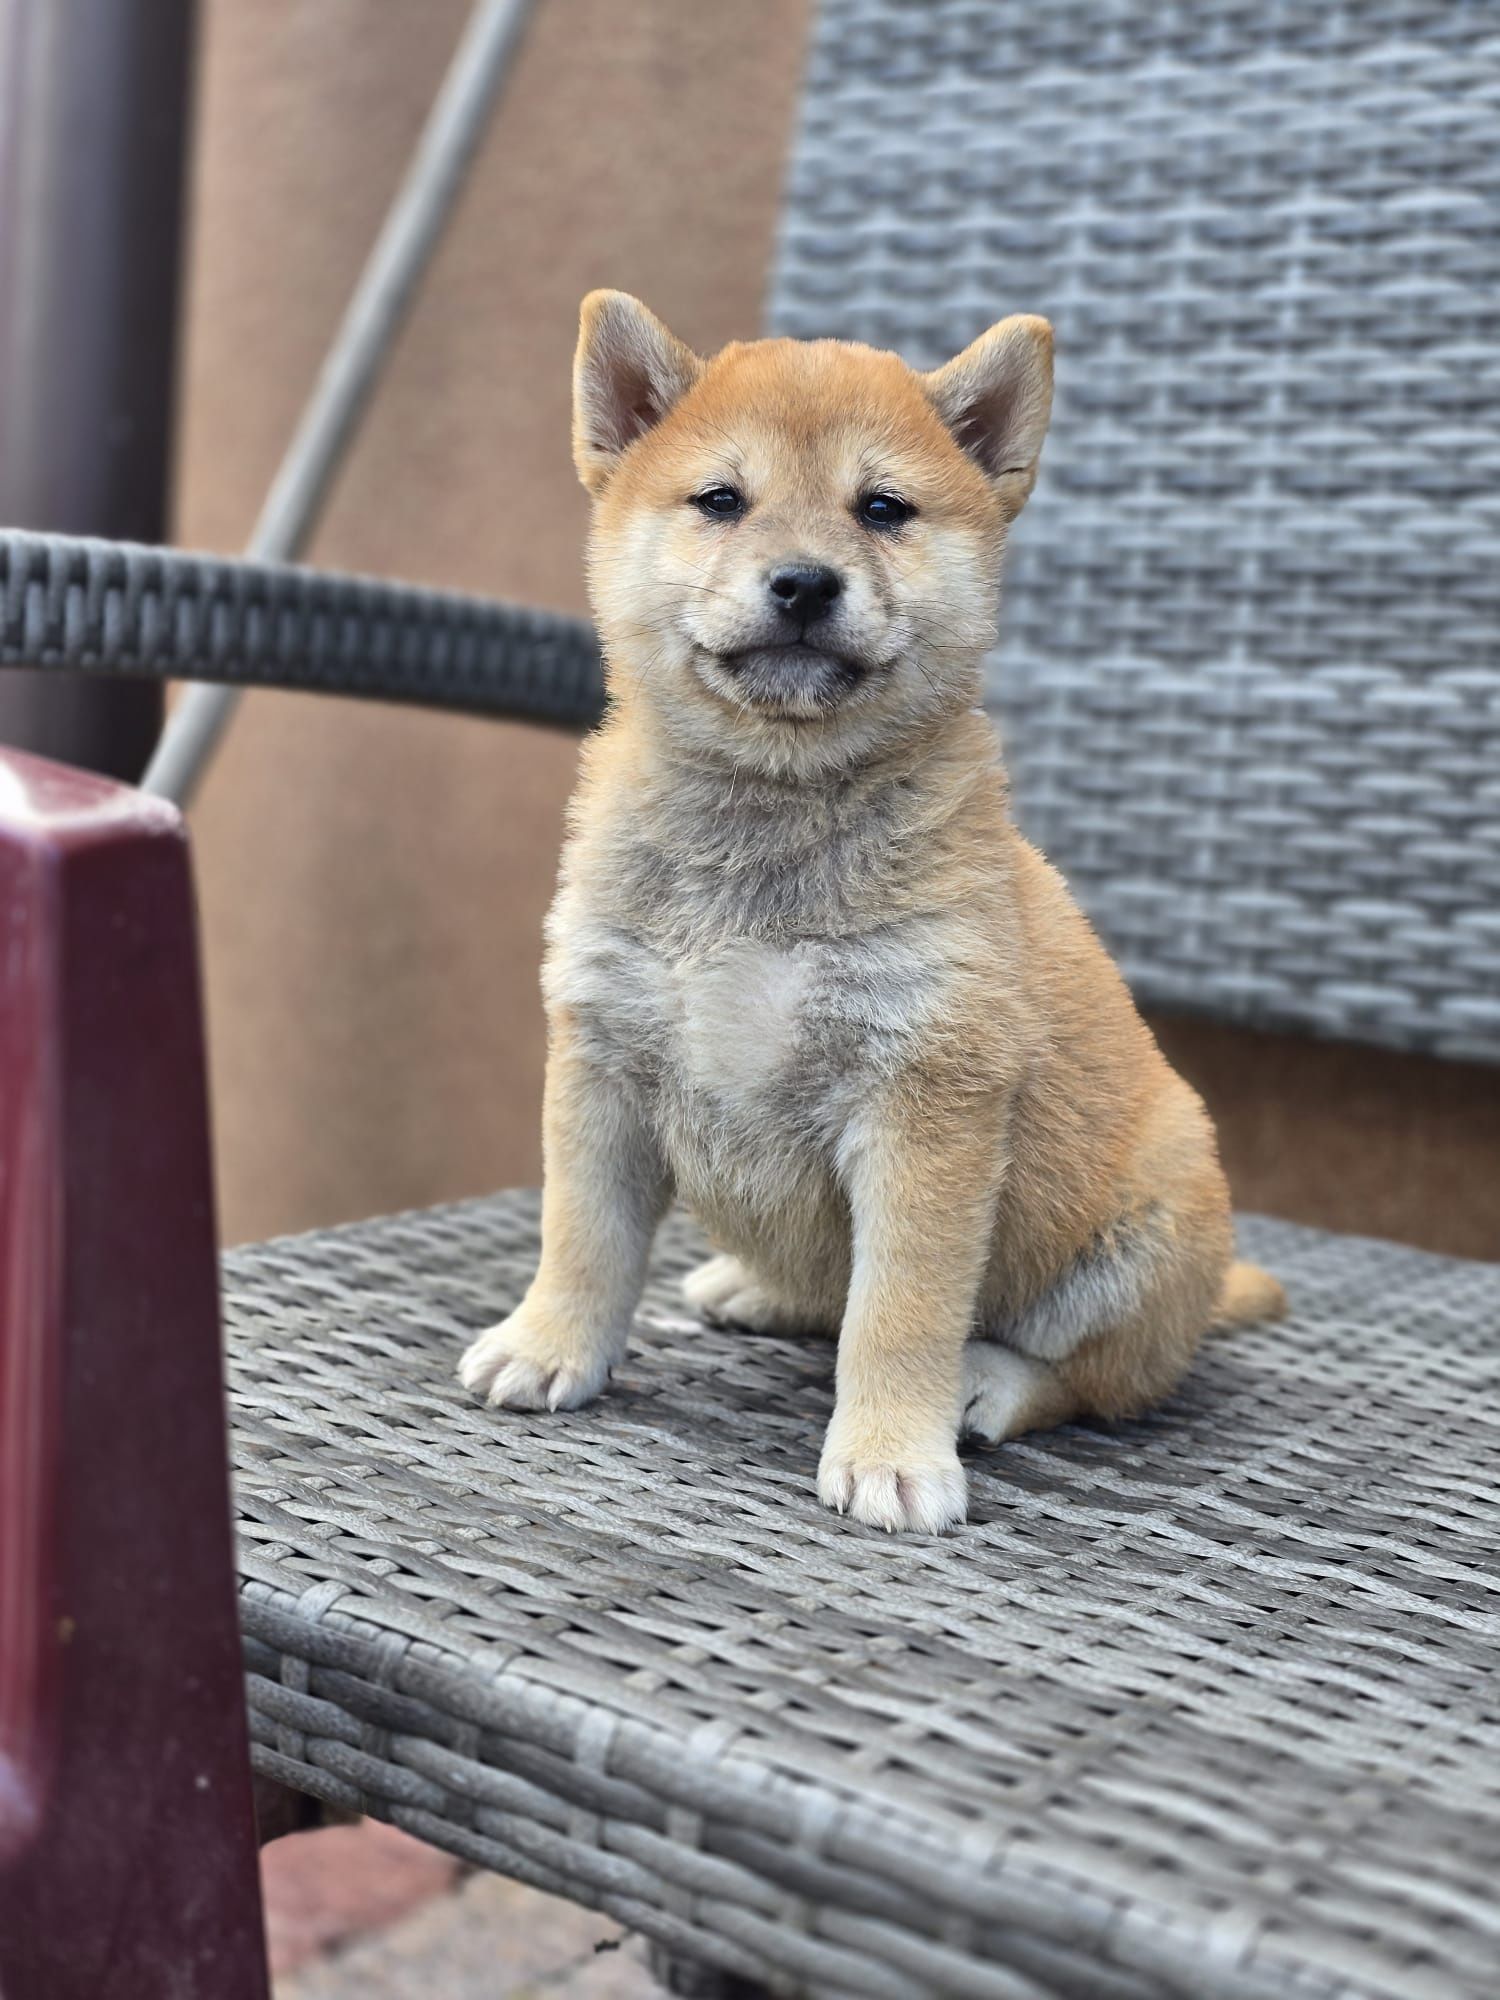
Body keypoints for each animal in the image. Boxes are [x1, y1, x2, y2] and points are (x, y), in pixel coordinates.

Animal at [464, 290, 1288, 1528]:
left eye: (882, 508)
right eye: (722, 499)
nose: (806, 581)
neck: (770, 821)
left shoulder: (924, 1102)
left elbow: (897, 1311)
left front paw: (893, 1450)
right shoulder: (604, 1059)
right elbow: (583, 1236)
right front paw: (548, 1342)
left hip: (1137, 1238)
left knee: (1090, 1377)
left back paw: (987, 1386)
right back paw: (754, 1284)